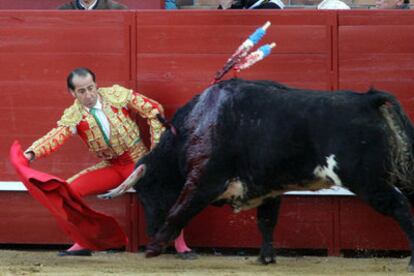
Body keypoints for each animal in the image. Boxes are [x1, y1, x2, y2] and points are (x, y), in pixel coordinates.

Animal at [100, 78, 414, 272]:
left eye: (147, 190)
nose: (149, 231)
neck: (197, 124)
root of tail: (369, 100)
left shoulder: (203, 181)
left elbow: (179, 211)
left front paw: (154, 247)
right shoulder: (269, 188)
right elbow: (266, 222)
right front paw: (266, 258)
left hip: (367, 181)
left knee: (400, 208)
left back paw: (411, 260)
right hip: (402, 172)